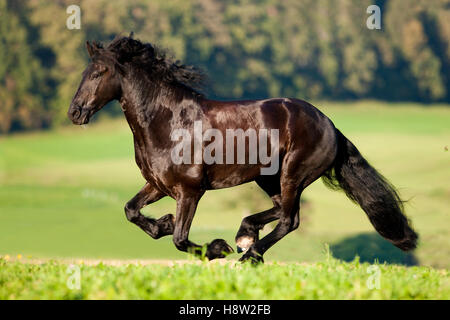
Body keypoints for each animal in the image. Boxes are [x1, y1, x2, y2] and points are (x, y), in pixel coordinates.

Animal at [67, 36, 418, 264]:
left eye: (98, 73)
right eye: (85, 72)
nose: (75, 113)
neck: (168, 122)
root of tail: (328, 123)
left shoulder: (190, 190)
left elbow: (180, 240)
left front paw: (216, 248)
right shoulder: (158, 185)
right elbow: (131, 211)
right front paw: (163, 223)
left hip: (293, 173)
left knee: (289, 218)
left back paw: (247, 250)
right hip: (268, 177)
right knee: (284, 213)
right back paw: (248, 240)